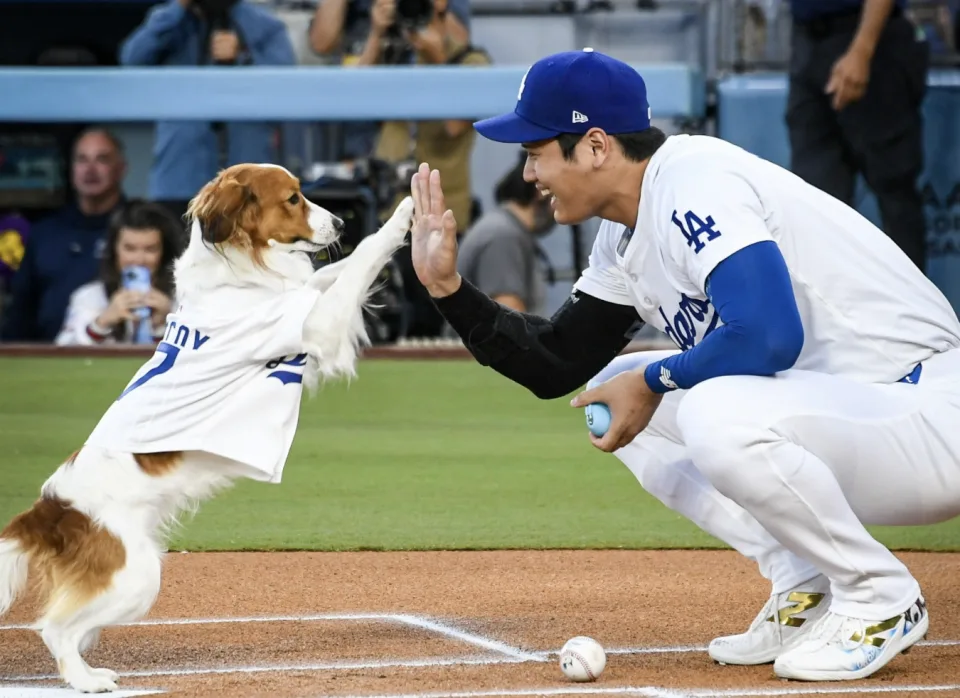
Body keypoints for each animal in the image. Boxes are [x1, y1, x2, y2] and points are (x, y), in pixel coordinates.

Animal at [0, 163, 412, 692]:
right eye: (294, 199)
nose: (341, 223)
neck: (238, 273)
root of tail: (47, 510)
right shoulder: (316, 324)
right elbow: (362, 259)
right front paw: (404, 214)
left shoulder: (303, 302)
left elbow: (327, 274)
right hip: (136, 576)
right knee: (54, 627)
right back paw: (86, 681)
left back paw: (89, 669)